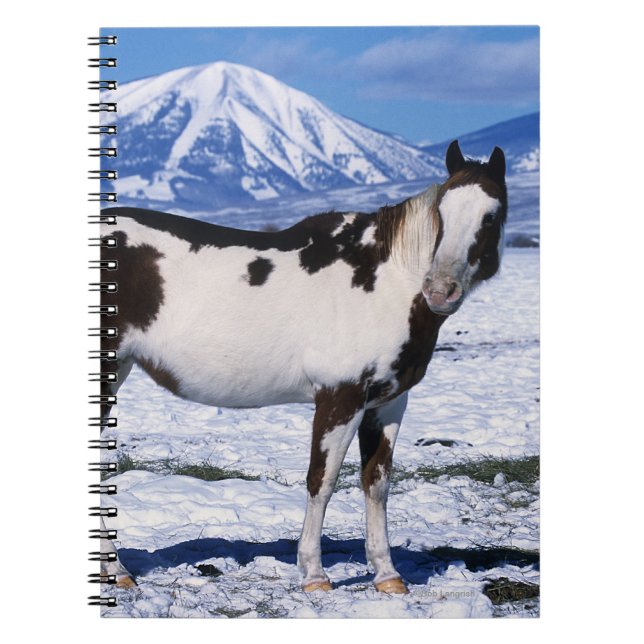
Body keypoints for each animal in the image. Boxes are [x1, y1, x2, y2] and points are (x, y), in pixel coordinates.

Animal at [96, 140, 507, 595]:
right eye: (442, 213)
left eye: (491, 215)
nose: (439, 290)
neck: (387, 282)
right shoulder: (340, 397)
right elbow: (321, 481)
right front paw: (314, 575)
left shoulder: (388, 403)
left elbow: (376, 483)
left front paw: (387, 575)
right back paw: (117, 571)